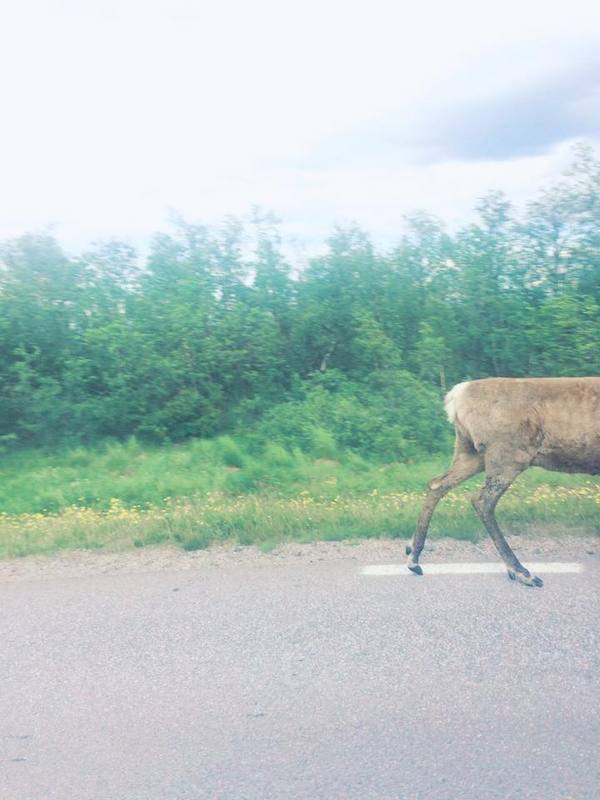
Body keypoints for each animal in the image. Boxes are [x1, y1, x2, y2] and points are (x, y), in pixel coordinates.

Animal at [406, 378, 600, 584]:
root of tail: (456, 395)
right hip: (507, 456)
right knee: (482, 501)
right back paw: (521, 571)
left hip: (470, 452)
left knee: (437, 484)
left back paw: (413, 556)